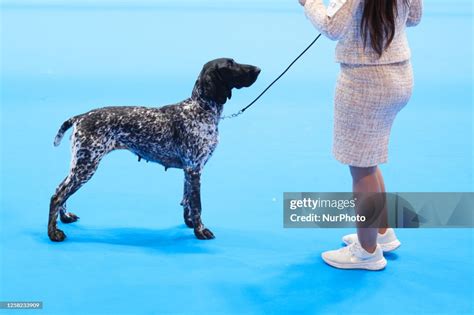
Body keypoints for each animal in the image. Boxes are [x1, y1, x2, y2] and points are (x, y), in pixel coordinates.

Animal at [49, 58, 260, 242]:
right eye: (230, 64)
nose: (258, 69)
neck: (201, 108)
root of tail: (81, 116)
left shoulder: (189, 170)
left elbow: (187, 201)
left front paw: (190, 223)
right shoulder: (194, 169)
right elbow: (197, 205)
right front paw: (200, 230)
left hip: (80, 164)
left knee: (60, 189)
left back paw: (65, 217)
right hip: (86, 165)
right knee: (57, 195)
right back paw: (54, 234)